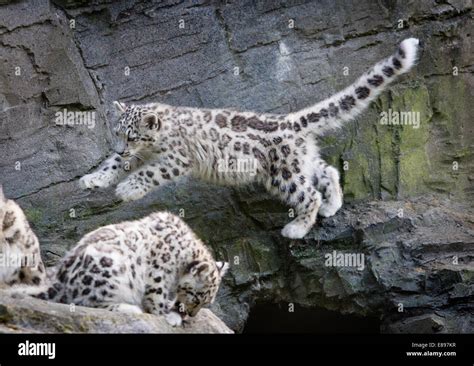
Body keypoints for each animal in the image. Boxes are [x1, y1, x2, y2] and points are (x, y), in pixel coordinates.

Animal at [12, 210, 231, 328]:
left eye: (207, 301)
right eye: (197, 297)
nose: (192, 315)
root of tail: (60, 279)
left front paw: (174, 308)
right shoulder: (158, 274)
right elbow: (156, 298)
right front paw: (169, 315)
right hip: (109, 269)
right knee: (85, 302)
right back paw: (130, 308)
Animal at [79, 38, 420, 240]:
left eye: (133, 136)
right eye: (118, 134)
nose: (122, 150)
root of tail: (291, 121)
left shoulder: (176, 157)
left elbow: (151, 172)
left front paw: (127, 189)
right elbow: (113, 166)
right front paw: (93, 179)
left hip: (283, 173)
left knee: (308, 193)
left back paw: (296, 228)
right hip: (302, 161)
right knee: (328, 171)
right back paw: (332, 205)